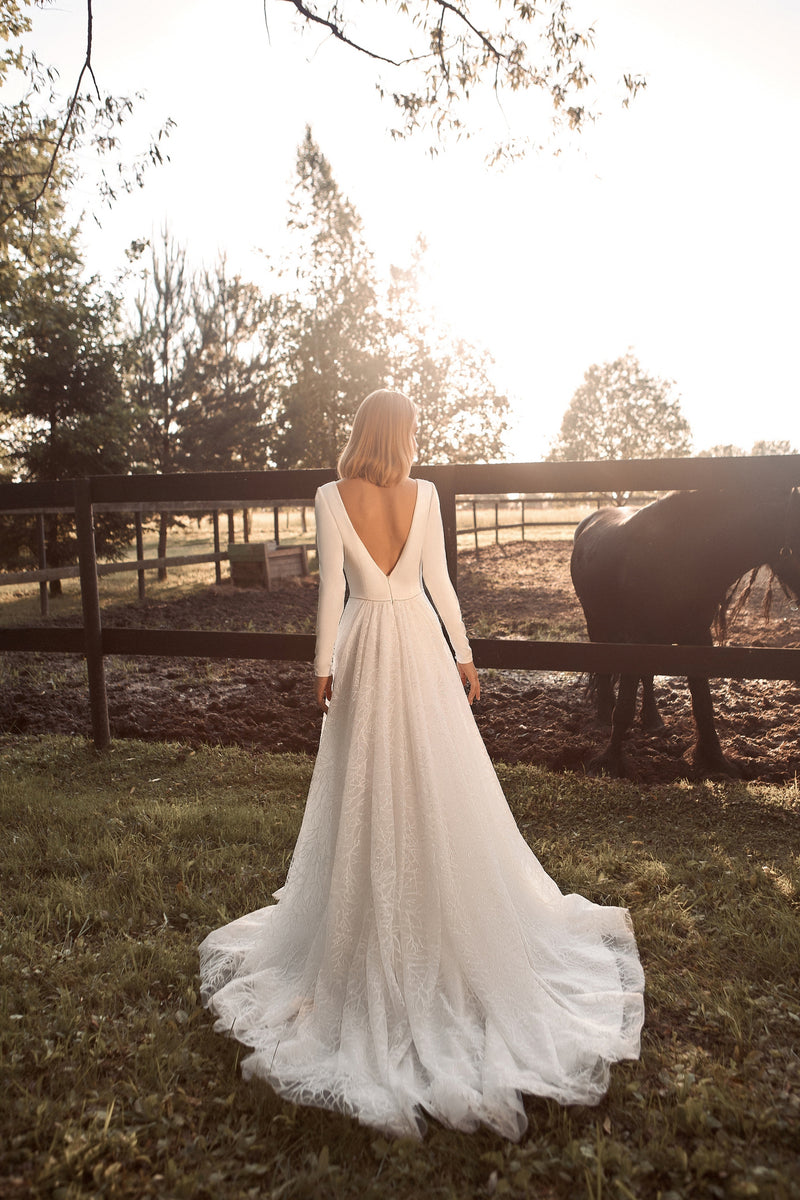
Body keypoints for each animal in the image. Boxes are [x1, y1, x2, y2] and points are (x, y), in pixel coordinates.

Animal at [568, 487, 800, 777]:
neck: (683, 554)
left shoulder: (697, 638)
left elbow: (703, 704)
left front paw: (714, 760)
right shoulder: (636, 639)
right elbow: (623, 707)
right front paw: (609, 761)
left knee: (646, 677)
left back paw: (653, 720)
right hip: (597, 622)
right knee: (603, 671)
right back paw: (601, 717)